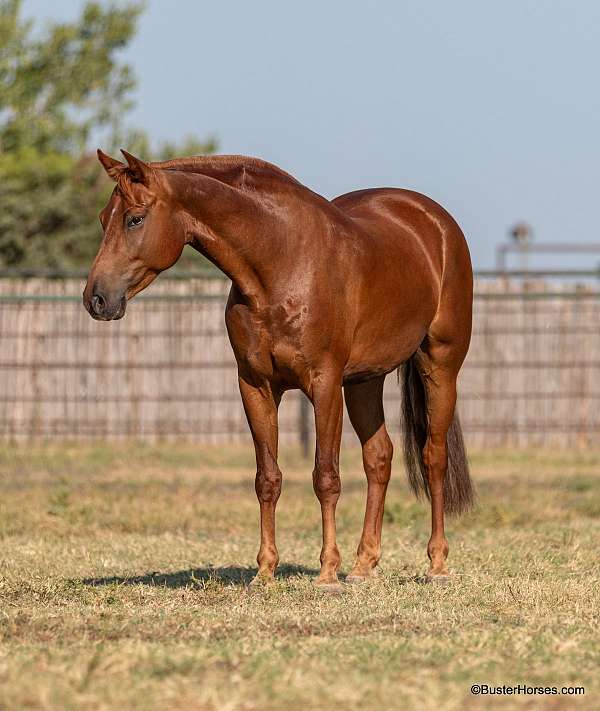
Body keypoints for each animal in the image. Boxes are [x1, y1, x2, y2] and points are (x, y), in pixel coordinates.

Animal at [83, 150, 474, 588]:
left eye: (135, 219)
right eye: (103, 218)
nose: (96, 299)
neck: (280, 263)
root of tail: (435, 222)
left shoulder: (324, 384)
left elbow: (325, 477)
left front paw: (327, 573)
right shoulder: (256, 386)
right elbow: (267, 479)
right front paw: (265, 571)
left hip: (439, 366)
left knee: (433, 457)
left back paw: (436, 564)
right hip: (365, 381)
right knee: (379, 457)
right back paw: (363, 565)